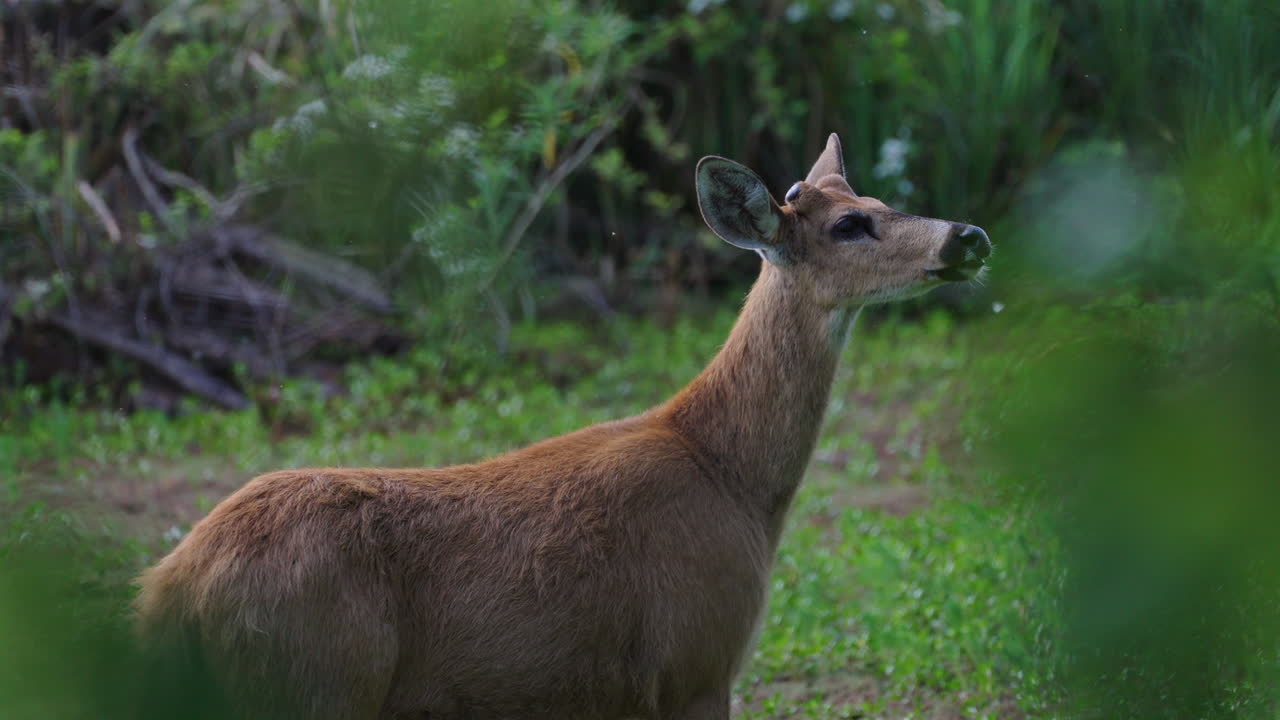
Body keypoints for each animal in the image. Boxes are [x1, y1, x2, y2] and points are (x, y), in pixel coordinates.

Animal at [134, 133, 990, 719]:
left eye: (879, 204)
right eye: (852, 224)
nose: (969, 237)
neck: (733, 478)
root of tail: (171, 590)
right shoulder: (698, 660)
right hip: (312, 682)